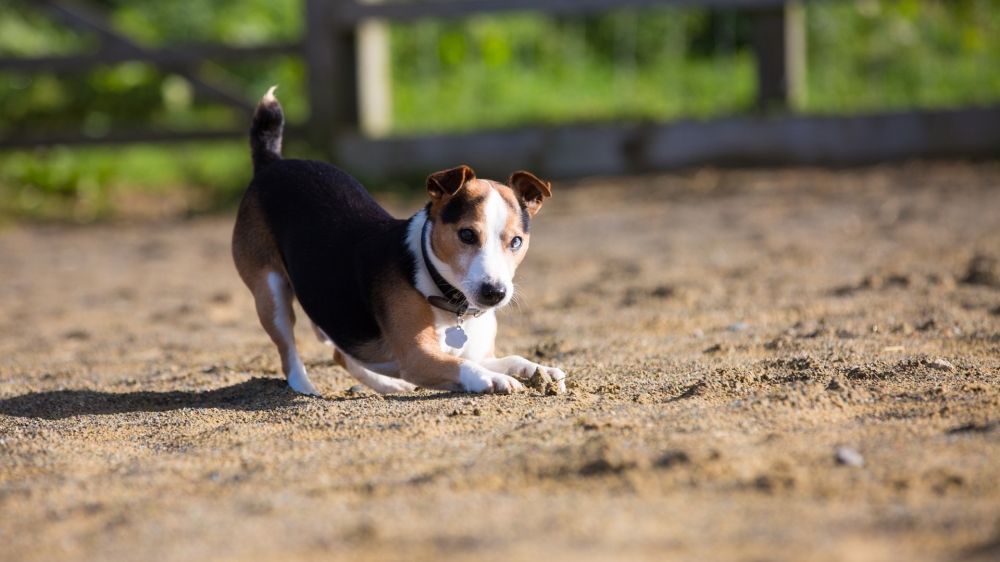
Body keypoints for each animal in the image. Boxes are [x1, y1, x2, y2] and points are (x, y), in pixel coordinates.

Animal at [230, 87, 568, 394]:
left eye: (516, 242)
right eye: (467, 234)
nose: (494, 293)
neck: (447, 299)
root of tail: (271, 161)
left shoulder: (480, 353)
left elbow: (512, 358)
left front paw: (540, 370)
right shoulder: (419, 357)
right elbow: (463, 366)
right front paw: (492, 379)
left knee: (341, 353)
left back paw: (388, 384)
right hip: (271, 294)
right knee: (289, 352)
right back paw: (306, 388)